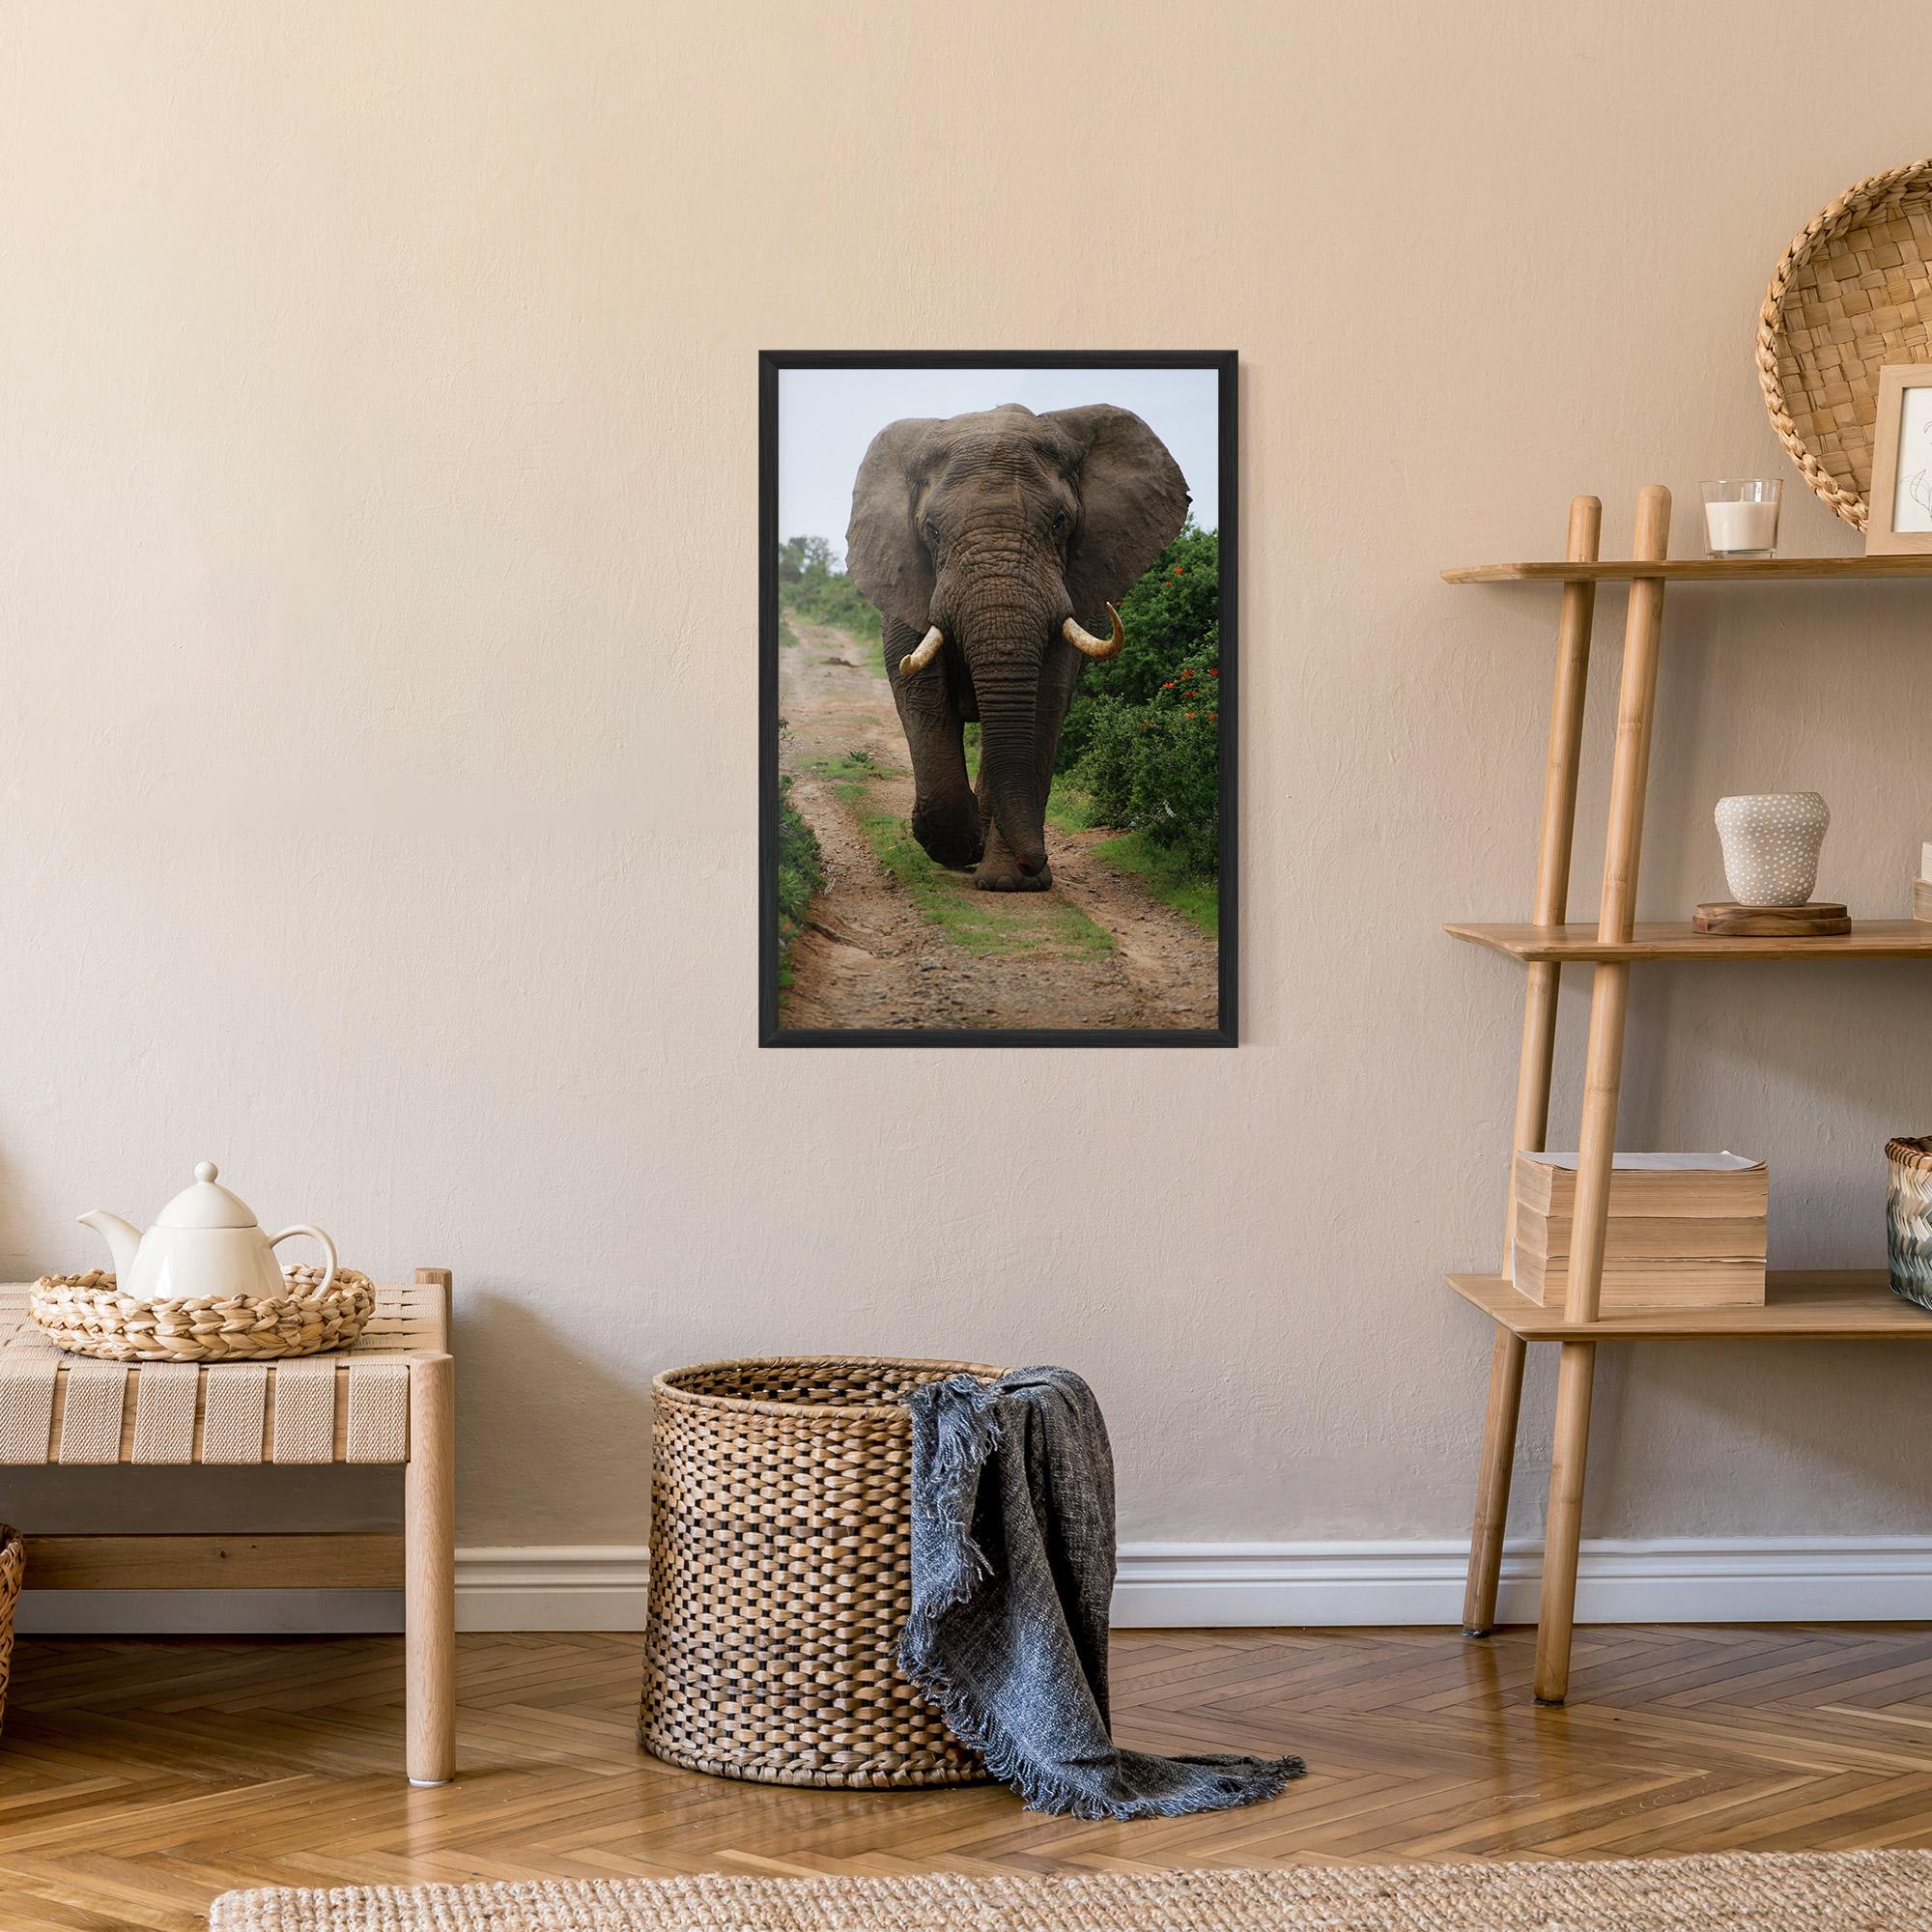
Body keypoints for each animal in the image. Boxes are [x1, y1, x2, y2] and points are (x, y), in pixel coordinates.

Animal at [845, 403, 1189, 891]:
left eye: (1060, 523)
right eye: (931, 530)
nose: (1035, 860)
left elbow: (1045, 700)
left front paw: (1011, 882)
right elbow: (919, 693)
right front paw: (960, 845)